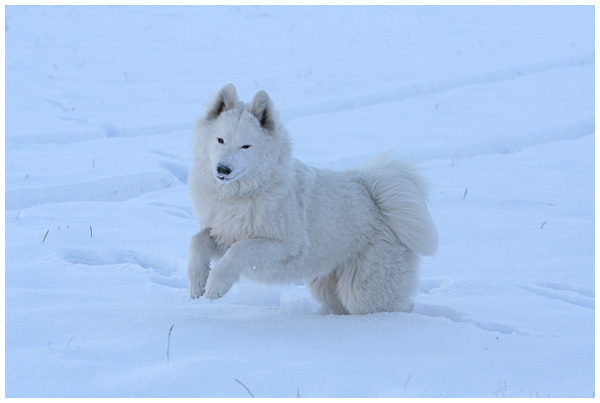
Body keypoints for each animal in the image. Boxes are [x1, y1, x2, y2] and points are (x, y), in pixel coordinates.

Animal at [188, 83, 436, 314]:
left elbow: (241, 249)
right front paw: (197, 282)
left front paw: (216, 285)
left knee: (394, 306)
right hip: (328, 285)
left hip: (363, 290)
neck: (240, 194)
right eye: (220, 140)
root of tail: (376, 199)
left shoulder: (287, 246)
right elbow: (197, 241)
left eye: (246, 146)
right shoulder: (222, 233)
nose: (223, 169)